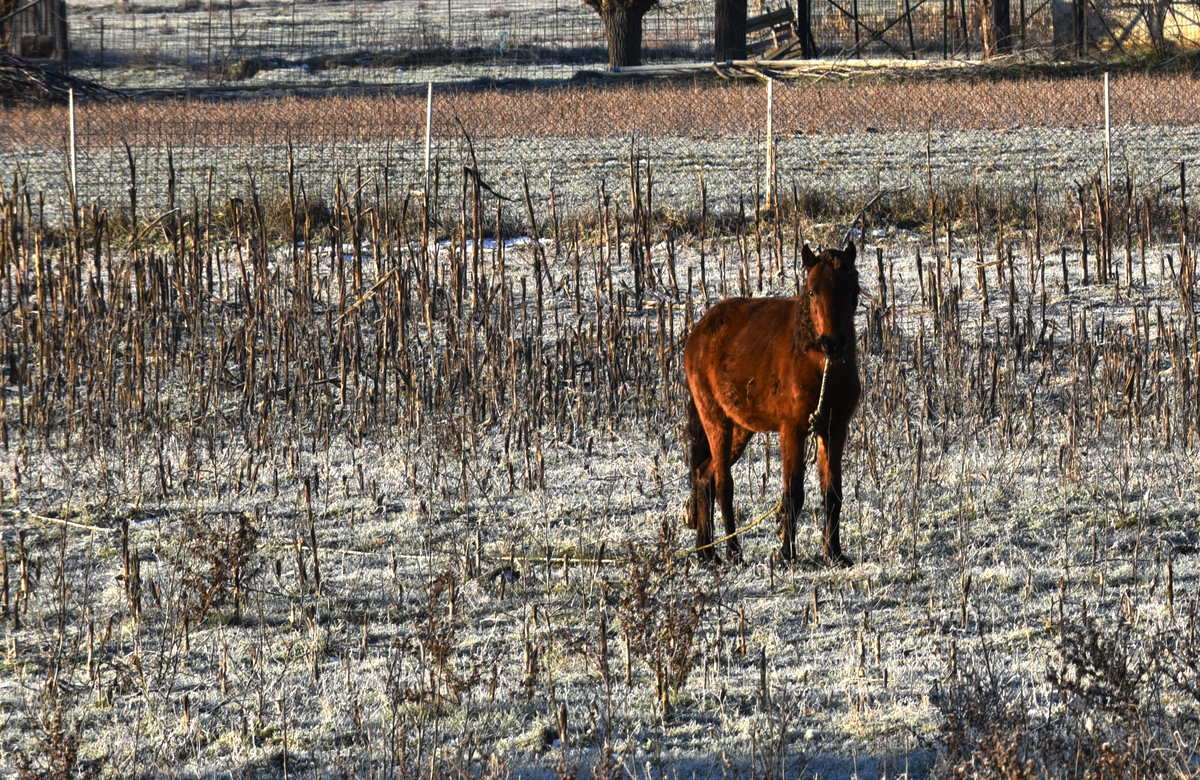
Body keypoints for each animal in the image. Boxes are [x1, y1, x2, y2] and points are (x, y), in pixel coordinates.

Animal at [686, 242, 864, 564]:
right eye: (812, 291)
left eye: (851, 288)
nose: (833, 343)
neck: (818, 364)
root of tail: (700, 330)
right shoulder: (792, 429)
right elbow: (793, 493)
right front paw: (786, 555)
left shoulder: (834, 429)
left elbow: (832, 494)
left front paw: (834, 553)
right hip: (715, 420)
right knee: (722, 484)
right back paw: (732, 552)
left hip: (741, 427)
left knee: (704, 476)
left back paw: (707, 552)